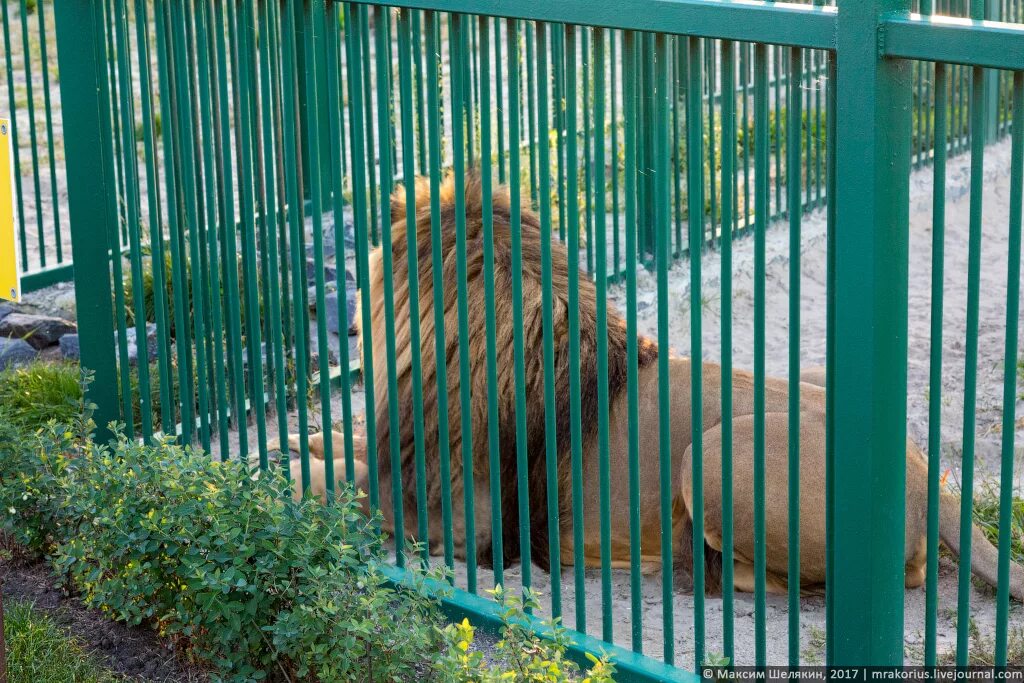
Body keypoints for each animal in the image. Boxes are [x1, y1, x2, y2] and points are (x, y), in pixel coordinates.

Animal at [274, 174, 1024, 602]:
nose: (339, 327)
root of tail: (927, 474)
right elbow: (348, 449)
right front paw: (296, 440)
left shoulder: (466, 517)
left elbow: (342, 489)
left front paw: (292, 473)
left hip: (712, 452)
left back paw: (691, 565)